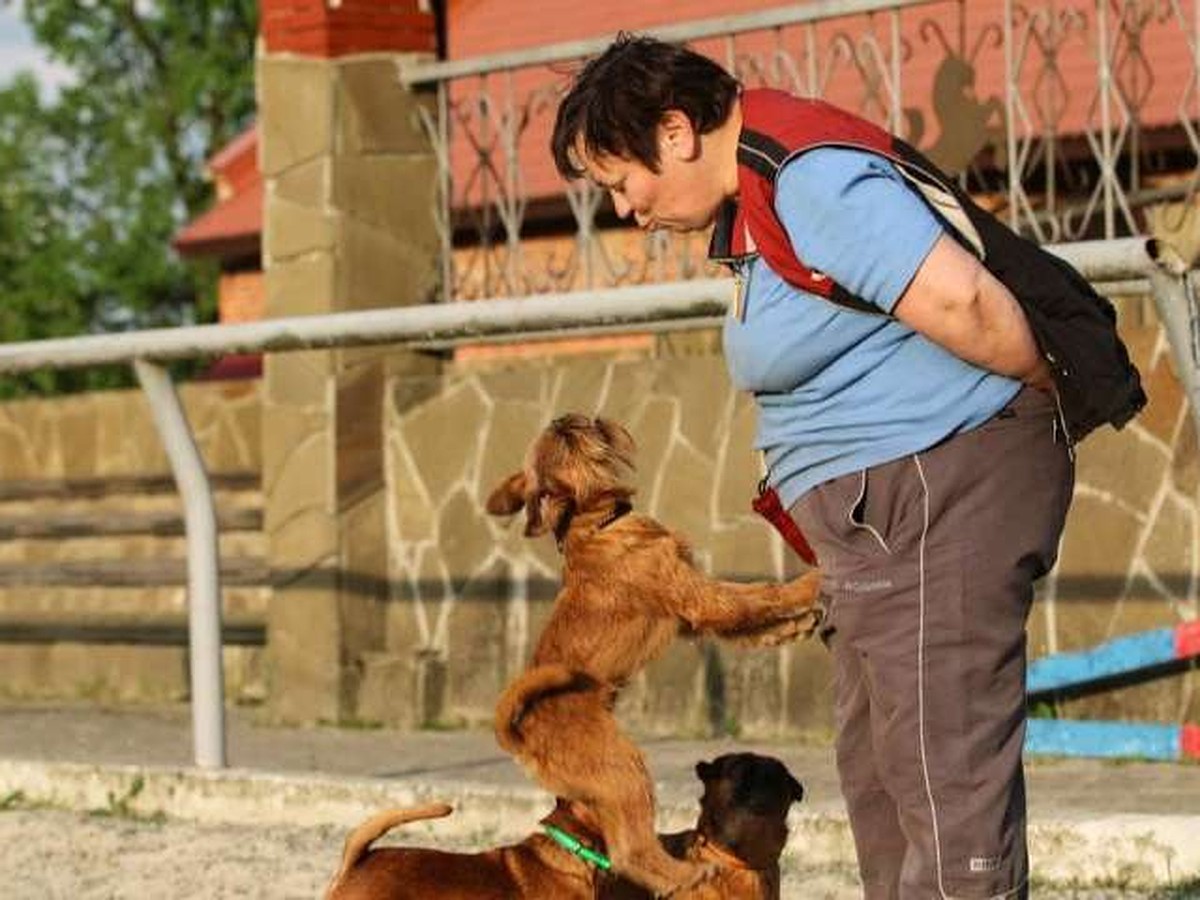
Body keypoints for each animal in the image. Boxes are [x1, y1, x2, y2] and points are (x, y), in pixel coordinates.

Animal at [482, 415, 820, 897]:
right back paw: (689, 873)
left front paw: (797, 626)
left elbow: (751, 623)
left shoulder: (694, 617)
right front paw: (814, 579)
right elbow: (758, 595)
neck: (596, 524)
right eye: (568, 436)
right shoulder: (701, 598)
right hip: (625, 769)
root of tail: (521, 735)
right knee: (631, 850)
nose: (565, 417)